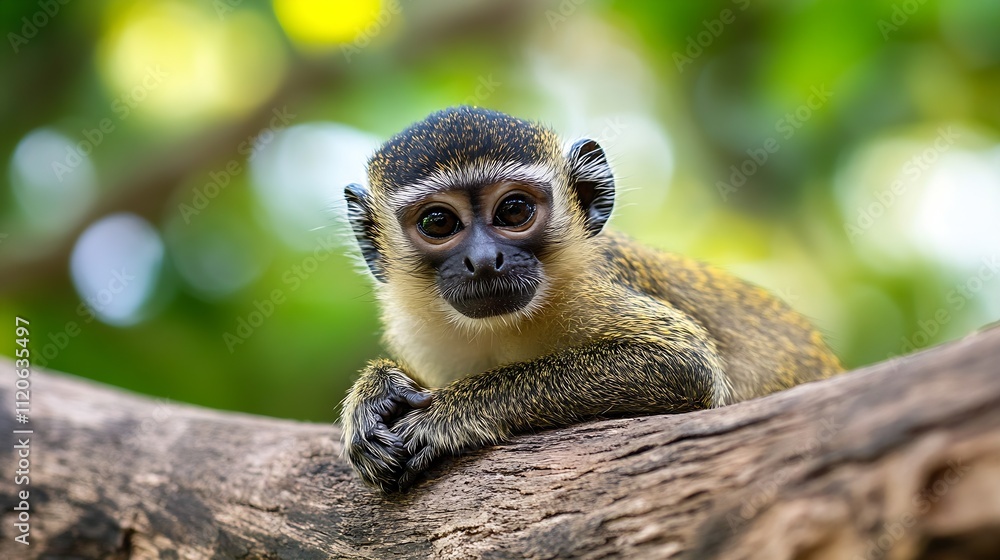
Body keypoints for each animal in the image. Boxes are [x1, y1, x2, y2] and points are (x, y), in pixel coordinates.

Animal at [340, 106, 841, 493]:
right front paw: (375, 392)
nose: (483, 261)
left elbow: (684, 364)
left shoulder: (599, 285)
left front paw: (451, 411)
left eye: (515, 211)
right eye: (439, 222)